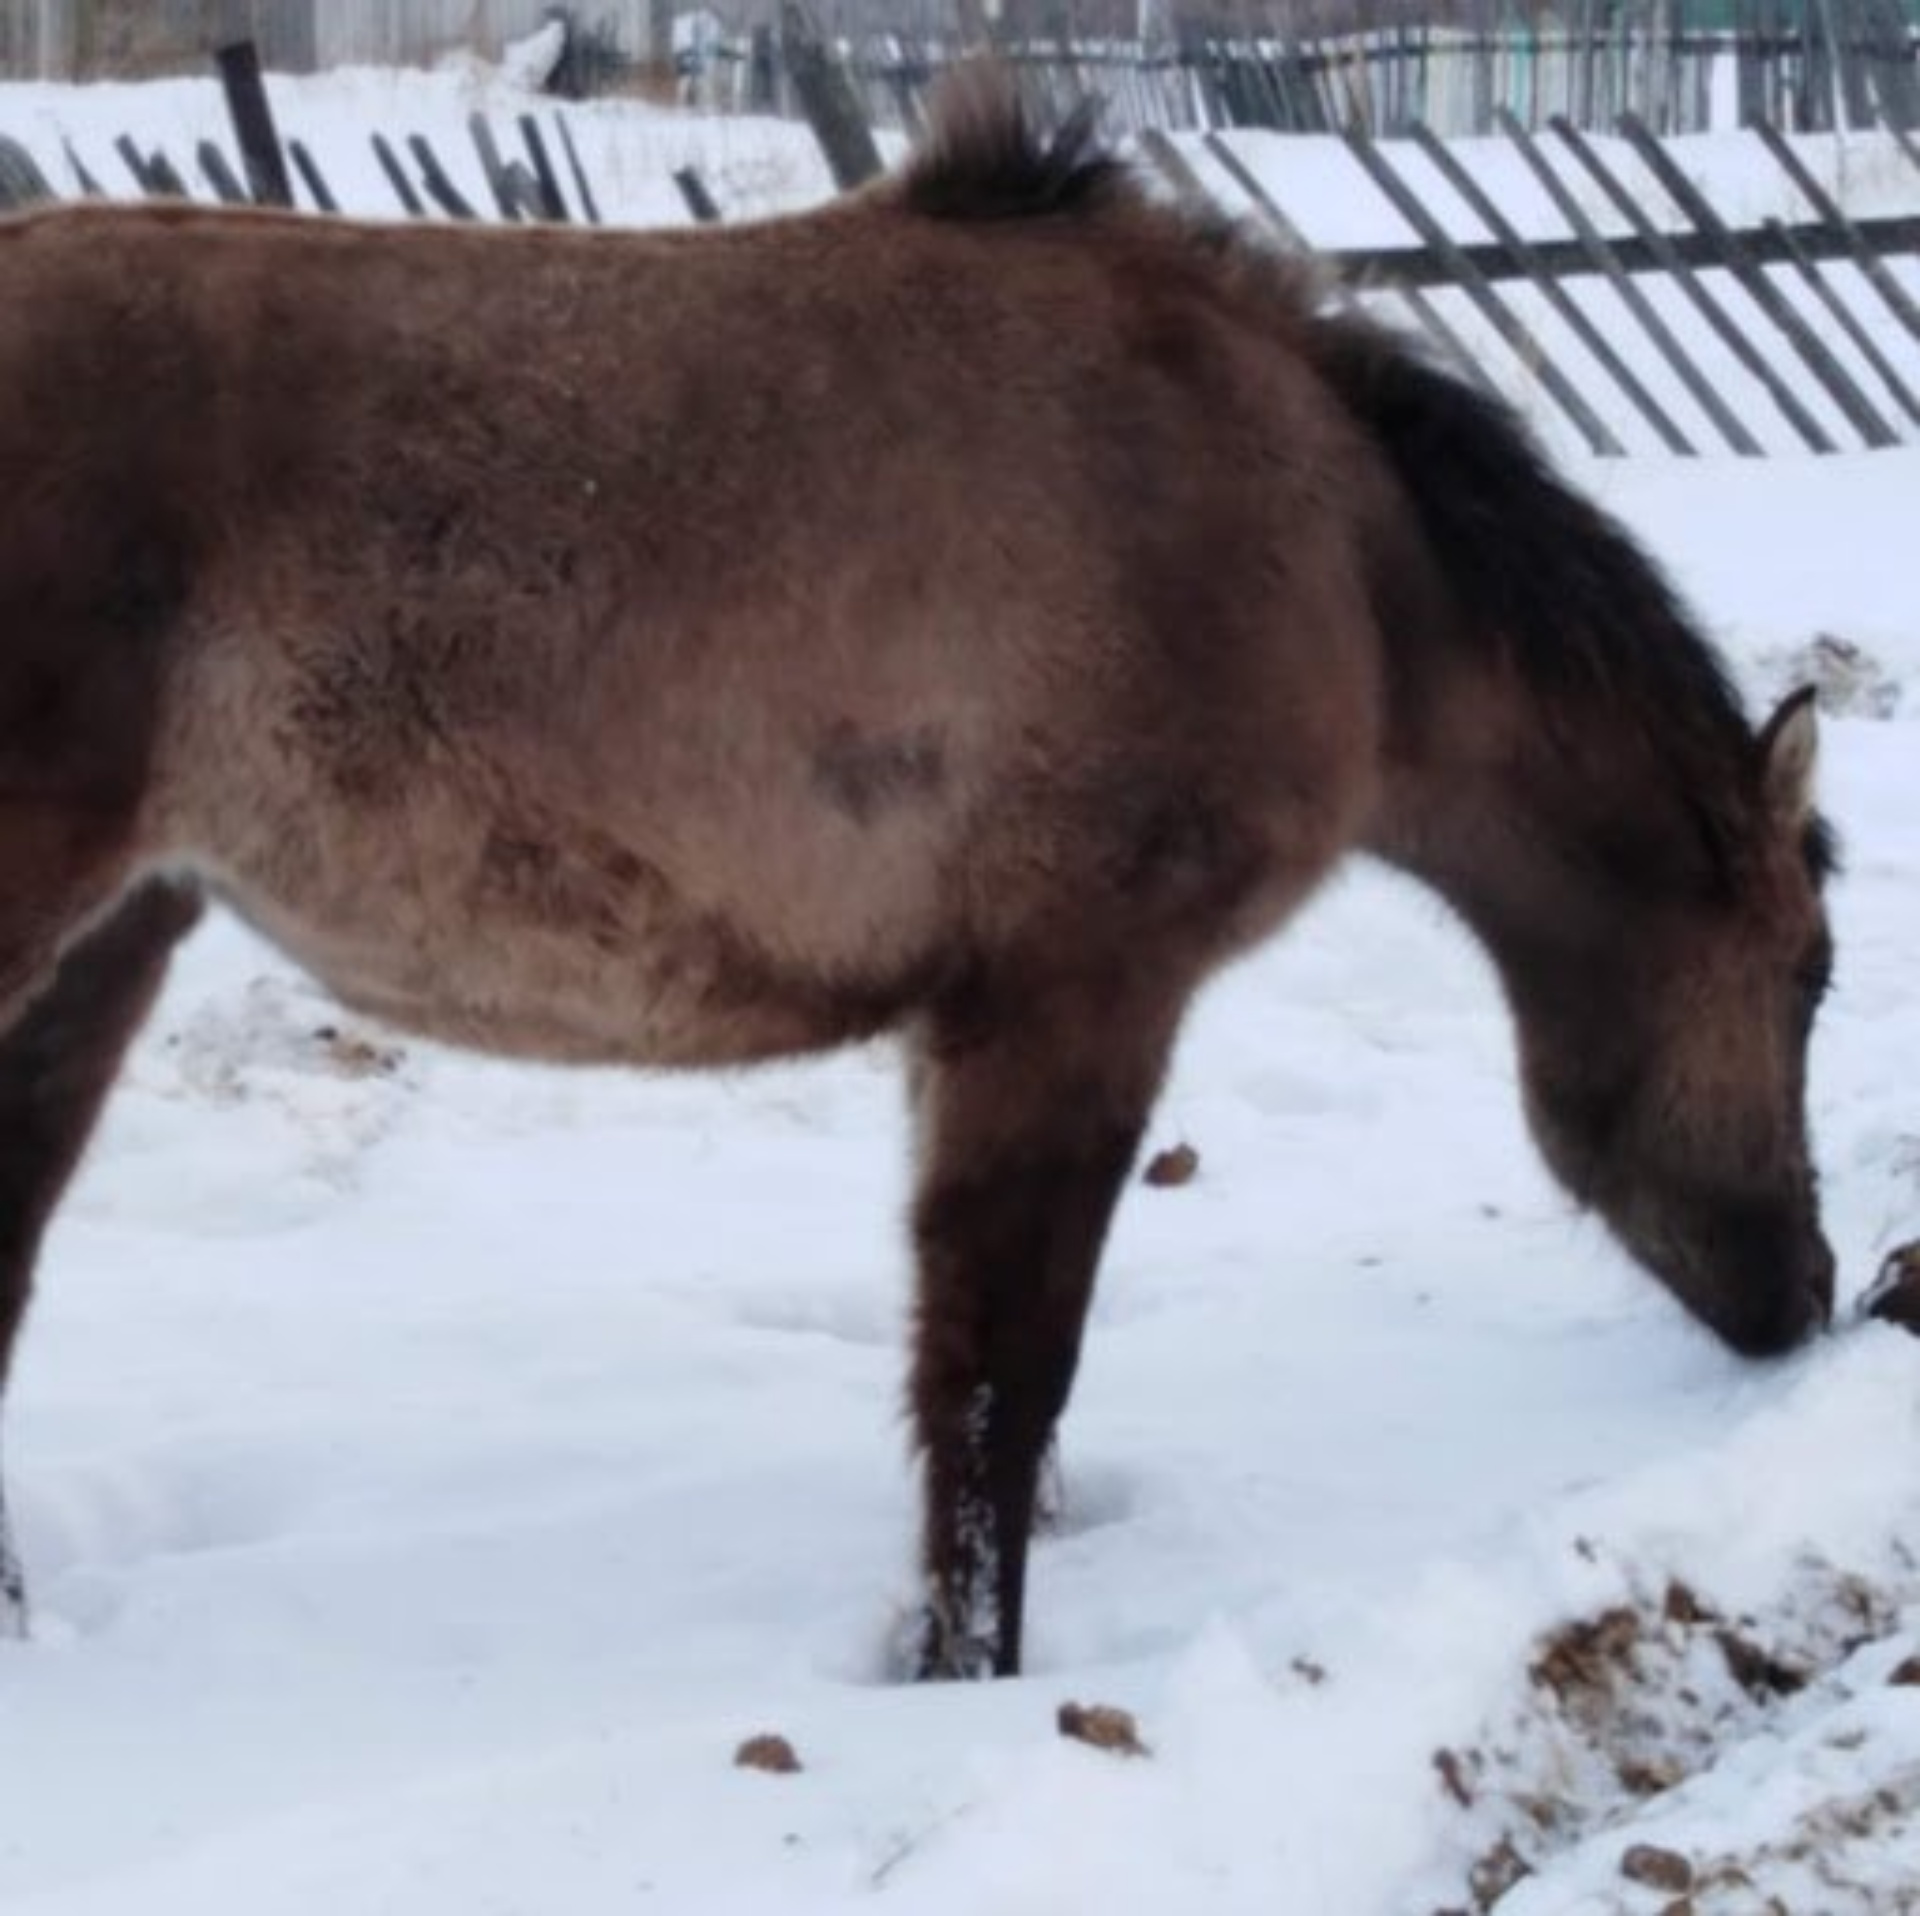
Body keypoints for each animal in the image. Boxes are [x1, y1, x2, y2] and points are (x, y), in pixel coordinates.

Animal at [0, 74, 1835, 1681]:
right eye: (1810, 976)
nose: (1809, 1293)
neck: (1334, 557)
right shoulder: (1075, 993)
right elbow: (1000, 1376)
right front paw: (969, 1671)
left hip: (107, 943)